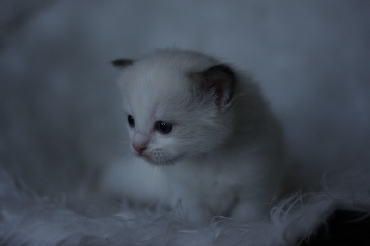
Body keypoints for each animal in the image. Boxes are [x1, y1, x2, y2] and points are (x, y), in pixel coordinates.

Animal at [102, 49, 284, 224]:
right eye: (131, 121)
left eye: (164, 127)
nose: (137, 146)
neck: (210, 157)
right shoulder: (188, 197)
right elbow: (199, 221)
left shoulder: (255, 194)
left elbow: (246, 221)